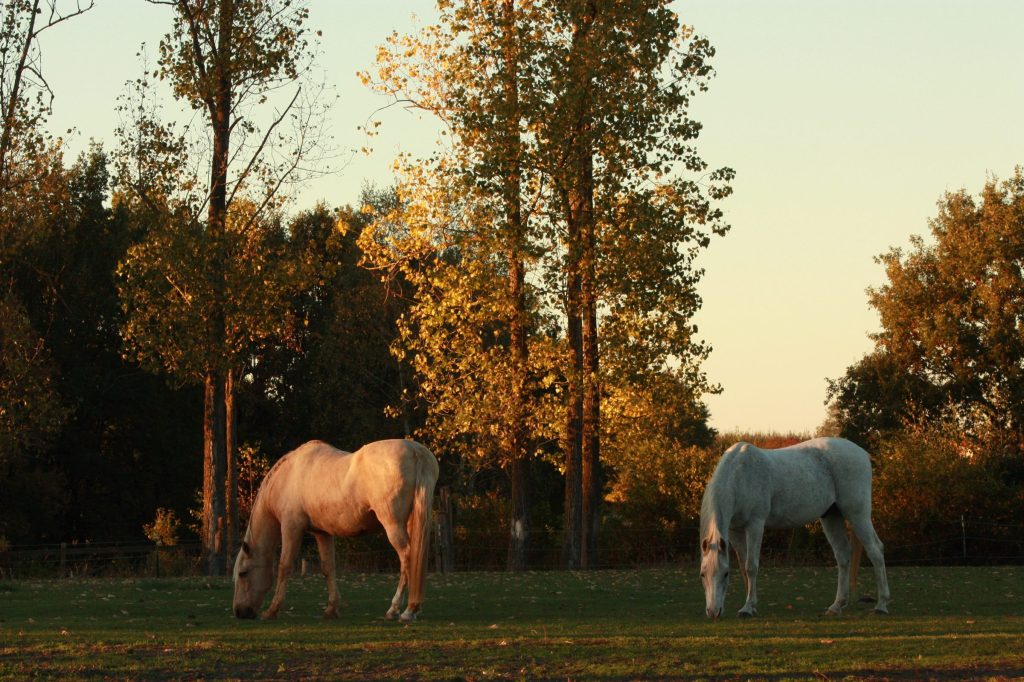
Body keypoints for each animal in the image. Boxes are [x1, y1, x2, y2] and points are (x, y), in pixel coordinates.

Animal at [232, 438, 439, 622]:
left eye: (243, 573)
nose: (240, 612)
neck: (289, 476)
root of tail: (415, 451)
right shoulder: (322, 533)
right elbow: (328, 568)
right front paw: (331, 609)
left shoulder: (292, 528)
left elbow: (284, 567)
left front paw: (272, 611)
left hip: (393, 526)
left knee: (407, 558)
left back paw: (401, 610)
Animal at [699, 437, 890, 618]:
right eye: (702, 574)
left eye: (725, 574)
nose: (713, 612)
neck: (739, 475)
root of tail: (862, 454)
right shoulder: (735, 530)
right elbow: (743, 566)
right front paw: (751, 606)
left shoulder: (755, 524)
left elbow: (751, 566)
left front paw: (747, 608)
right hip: (831, 516)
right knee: (843, 555)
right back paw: (836, 606)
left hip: (858, 514)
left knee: (876, 551)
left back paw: (881, 605)